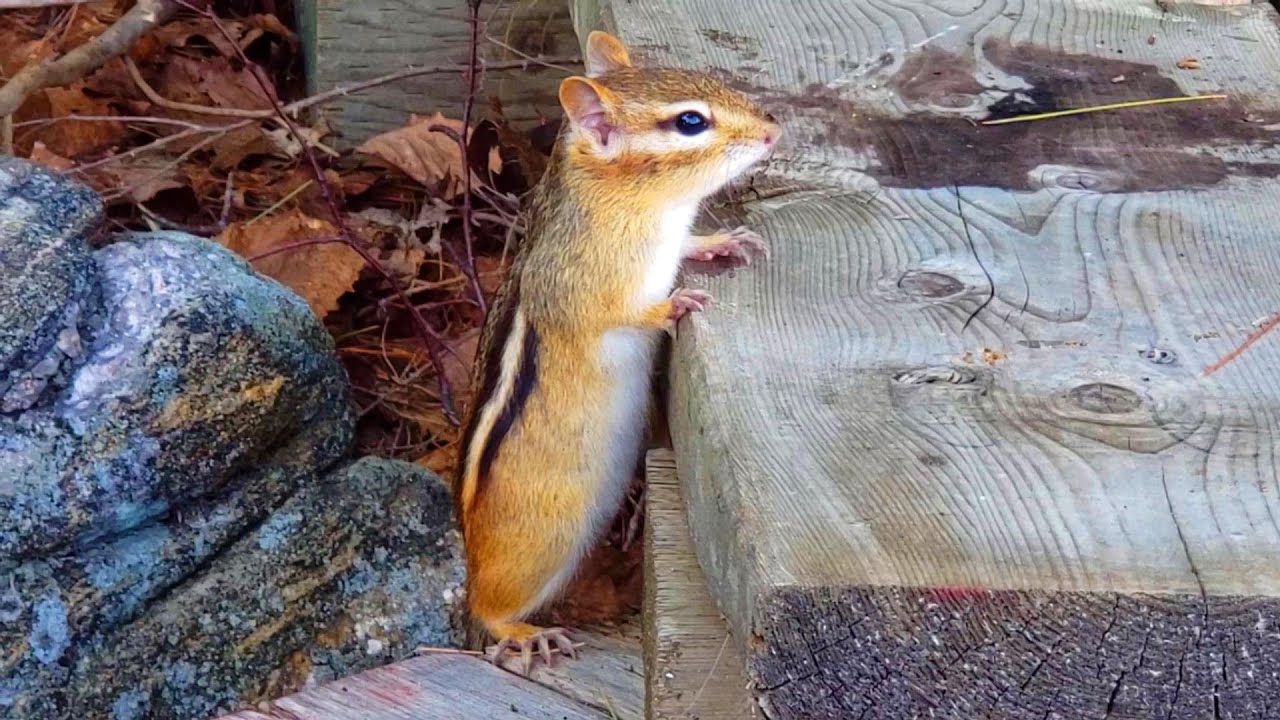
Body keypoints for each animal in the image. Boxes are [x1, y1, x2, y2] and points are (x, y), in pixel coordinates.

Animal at [452, 29, 780, 674]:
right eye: (689, 122)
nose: (772, 131)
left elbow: (689, 248)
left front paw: (719, 242)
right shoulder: (583, 286)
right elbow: (615, 315)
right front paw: (674, 304)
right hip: (543, 538)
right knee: (488, 603)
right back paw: (522, 631)